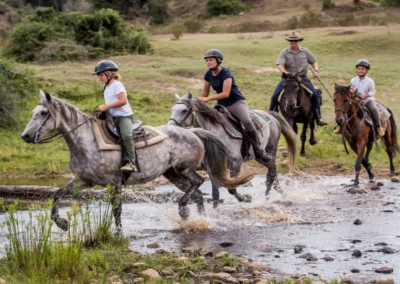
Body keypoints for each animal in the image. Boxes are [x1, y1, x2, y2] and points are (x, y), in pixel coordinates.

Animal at [21, 91, 253, 233]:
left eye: (43, 113)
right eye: (32, 112)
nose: (25, 136)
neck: (87, 141)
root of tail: (194, 132)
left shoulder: (113, 183)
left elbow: (117, 209)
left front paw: (118, 233)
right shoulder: (84, 180)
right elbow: (57, 193)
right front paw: (61, 223)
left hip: (184, 169)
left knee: (198, 183)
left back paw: (184, 210)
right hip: (173, 174)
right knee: (196, 195)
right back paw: (197, 219)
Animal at [167, 93, 296, 206]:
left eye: (184, 110)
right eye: (172, 109)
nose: (170, 127)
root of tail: (269, 114)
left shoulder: (235, 164)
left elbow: (231, 188)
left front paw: (245, 198)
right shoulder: (212, 168)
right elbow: (215, 194)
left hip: (271, 148)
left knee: (271, 173)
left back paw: (268, 197)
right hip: (259, 157)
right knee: (271, 170)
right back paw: (276, 193)